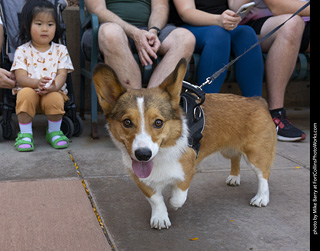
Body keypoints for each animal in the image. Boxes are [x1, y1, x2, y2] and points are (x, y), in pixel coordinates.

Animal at [92, 58, 276, 229]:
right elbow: (155, 199)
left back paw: (261, 197)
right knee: (235, 157)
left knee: (263, 175)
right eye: (127, 122)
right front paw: (160, 217)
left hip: (255, 155)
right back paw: (234, 177)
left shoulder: (189, 169)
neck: (161, 155)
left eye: (158, 122)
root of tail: (258, 101)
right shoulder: (141, 179)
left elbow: (178, 196)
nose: (143, 155)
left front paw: (173, 202)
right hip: (228, 150)